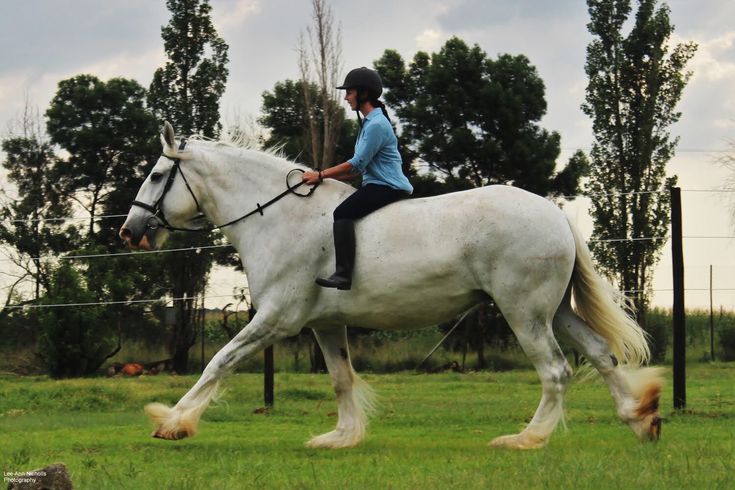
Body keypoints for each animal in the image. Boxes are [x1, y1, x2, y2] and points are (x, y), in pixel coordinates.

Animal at [118, 122, 664, 448]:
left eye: (158, 174)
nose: (129, 231)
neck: (278, 216)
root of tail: (553, 213)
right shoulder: (324, 325)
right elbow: (341, 378)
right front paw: (340, 437)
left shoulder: (275, 319)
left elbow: (219, 362)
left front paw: (172, 422)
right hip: (556, 310)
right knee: (600, 355)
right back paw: (641, 419)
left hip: (524, 312)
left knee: (555, 371)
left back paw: (525, 439)